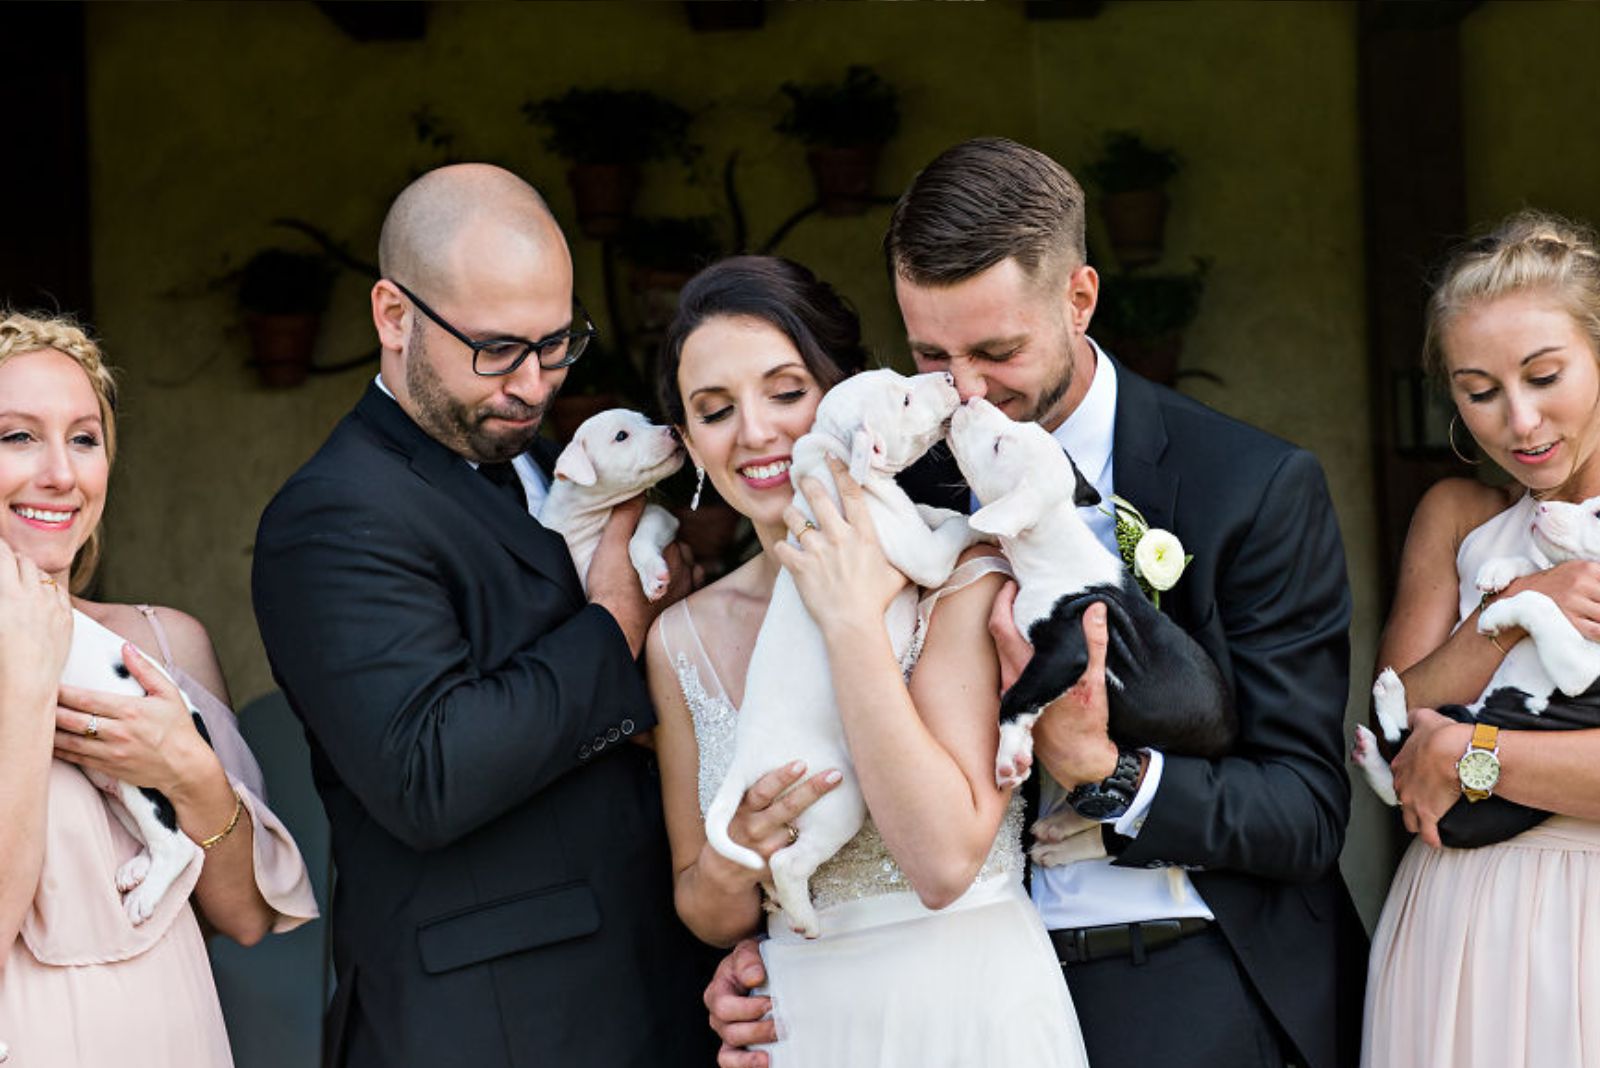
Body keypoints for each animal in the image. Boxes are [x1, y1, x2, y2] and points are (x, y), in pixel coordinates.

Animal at [540, 409, 684, 597]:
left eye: (647, 421)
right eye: (621, 436)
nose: (674, 431)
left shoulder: (661, 515)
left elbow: (637, 540)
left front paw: (652, 574)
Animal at [710, 369, 979, 933]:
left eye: (903, 380)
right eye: (905, 399)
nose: (948, 376)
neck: (837, 462)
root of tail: (746, 760)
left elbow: (927, 512)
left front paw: (941, 508)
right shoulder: (919, 553)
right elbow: (947, 536)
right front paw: (977, 521)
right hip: (838, 800)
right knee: (788, 862)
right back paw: (806, 920)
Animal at [947, 396, 1235, 789]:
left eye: (997, 446)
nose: (973, 399)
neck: (1053, 539)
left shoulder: (1067, 647)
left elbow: (1017, 696)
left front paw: (1010, 757)